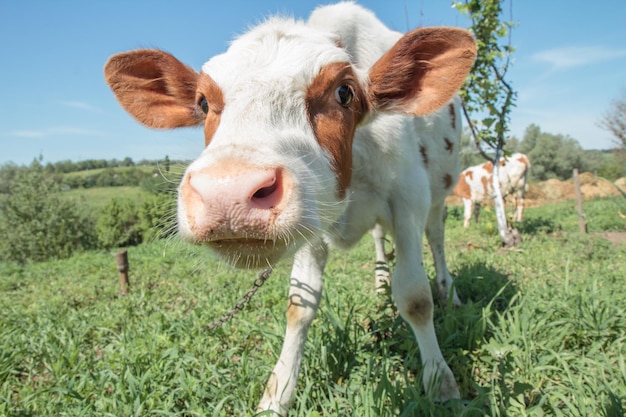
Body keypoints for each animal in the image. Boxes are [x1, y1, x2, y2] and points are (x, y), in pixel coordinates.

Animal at [103, 2, 472, 412]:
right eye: (203, 102)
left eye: (344, 92)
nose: (226, 192)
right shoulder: (312, 225)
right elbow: (299, 305)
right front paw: (277, 394)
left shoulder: (408, 197)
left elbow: (416, 298)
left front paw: (440, 383)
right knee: (379, 238)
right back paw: (379, 284)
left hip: (440, 189)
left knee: (436, 237)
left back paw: (450, 293)